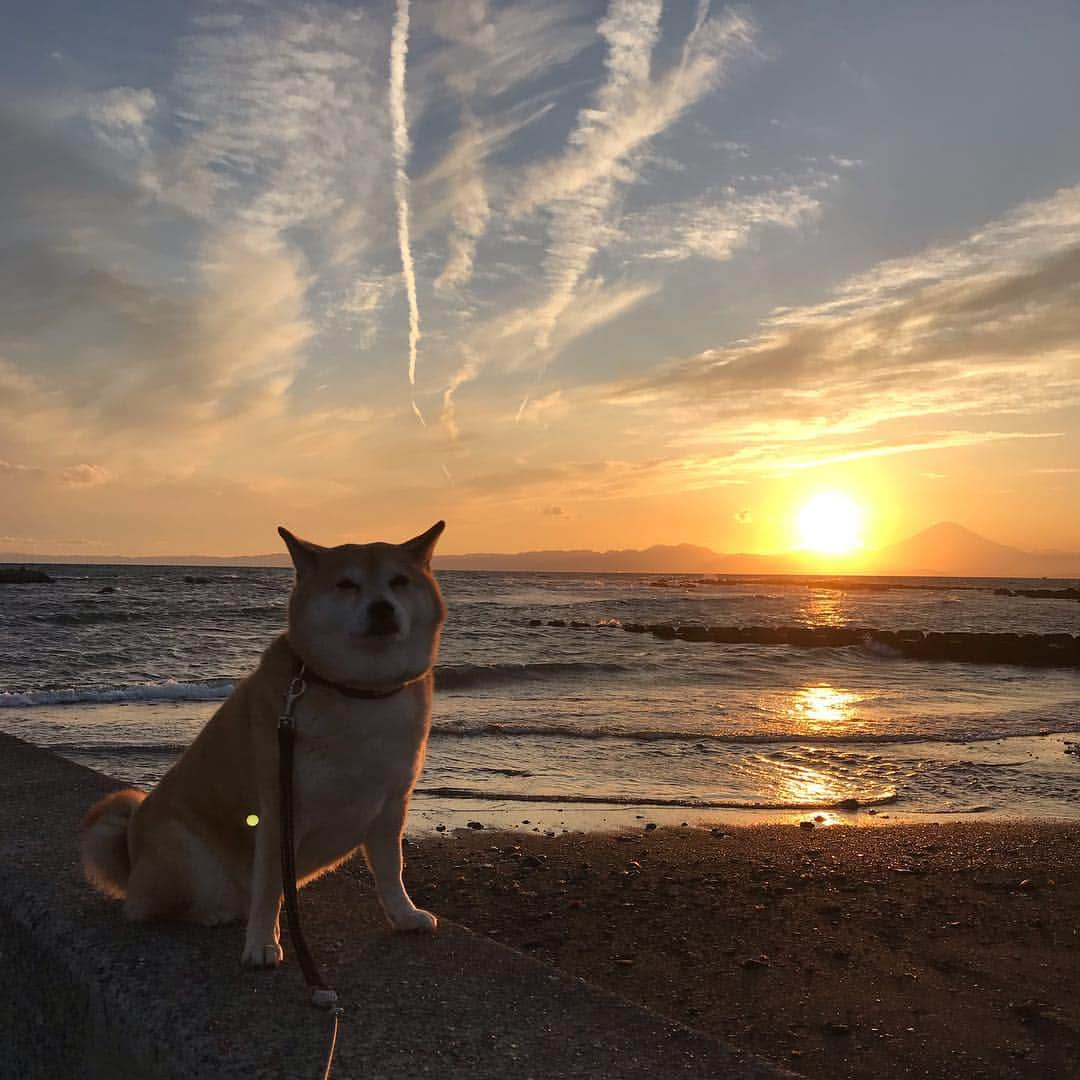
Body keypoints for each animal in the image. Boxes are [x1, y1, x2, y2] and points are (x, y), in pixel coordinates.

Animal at [78, 518, 442, 967]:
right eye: (347, 584)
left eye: (399, 581)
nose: (381, 608)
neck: (360, 693)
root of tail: (132, 863)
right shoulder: (278, 812)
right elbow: (268, 889)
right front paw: (263, 944)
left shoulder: (391, 805)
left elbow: (393, 869)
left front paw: (404, 915)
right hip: (185, 852)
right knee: (154, 908)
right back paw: (213, 913)